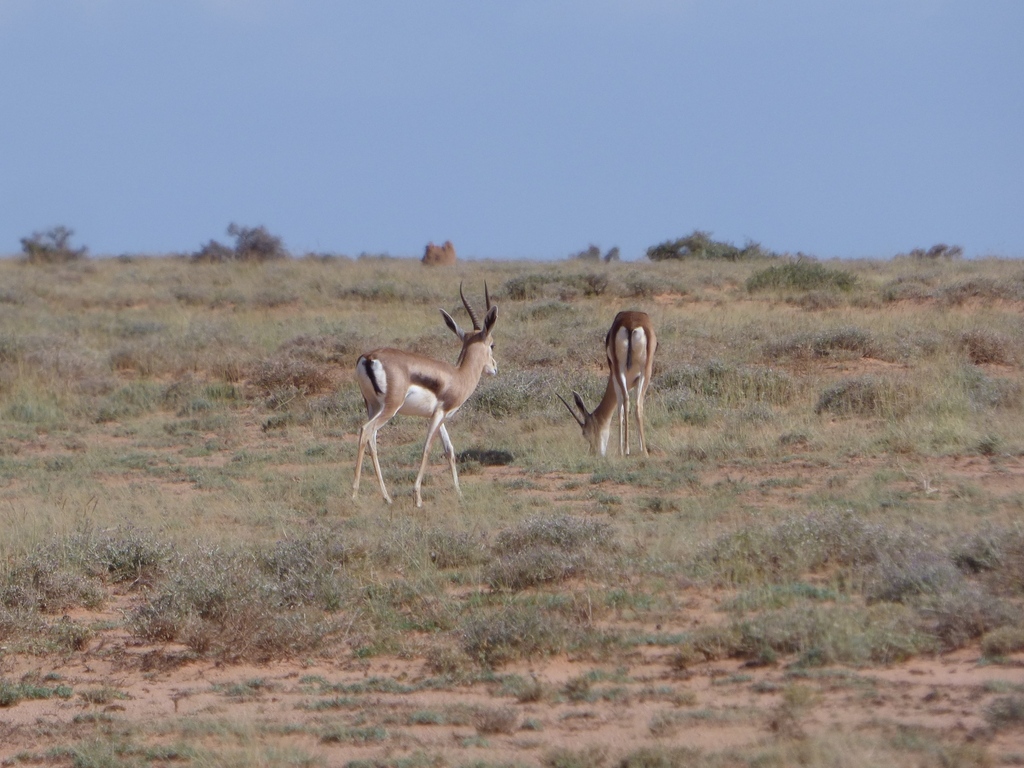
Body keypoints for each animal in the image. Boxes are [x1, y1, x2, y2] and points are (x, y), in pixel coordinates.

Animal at [352, 285, 497, 507]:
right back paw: (355, 495)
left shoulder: (440, 416)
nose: (494, 368)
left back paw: (386, 497)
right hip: (389, 408)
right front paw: (418, 497)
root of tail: (369, 358)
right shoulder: (438, 415)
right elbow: (427, 448)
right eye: (492, 344)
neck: (458, 376)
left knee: (372, 439)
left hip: (372, 406)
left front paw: (459, 493)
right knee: (366, 431)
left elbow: (449, 449)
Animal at [559, 310, 657, 457]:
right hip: (640, 370)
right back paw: (637, 451)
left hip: (625, 369)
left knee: (630, 403)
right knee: (633, 404)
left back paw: (632, 450)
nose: (593, 452)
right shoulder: (628, 380)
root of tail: (631, 323)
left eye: (585, 433)